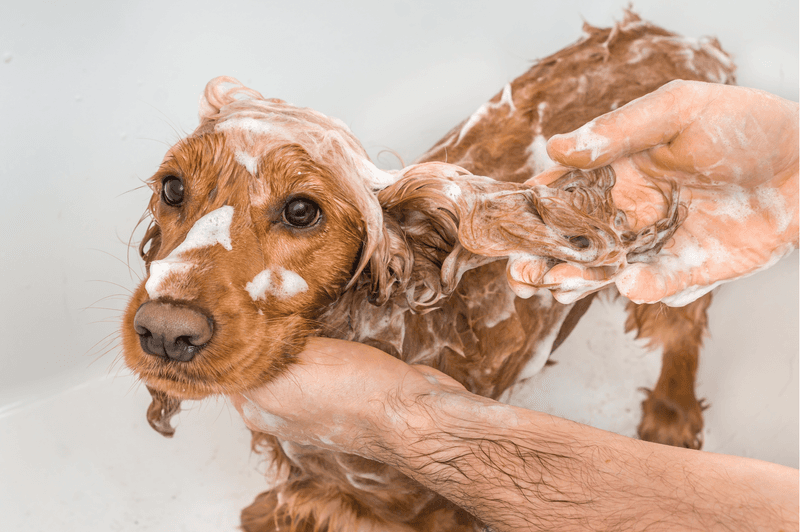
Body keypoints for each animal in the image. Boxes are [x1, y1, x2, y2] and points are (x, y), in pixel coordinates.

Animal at [122, 12, 736, 532]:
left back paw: (672, 415)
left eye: (301, 210)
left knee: (683, 329)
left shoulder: (433, 509)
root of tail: (683, 39)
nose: (167, 333)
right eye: (172, 188)